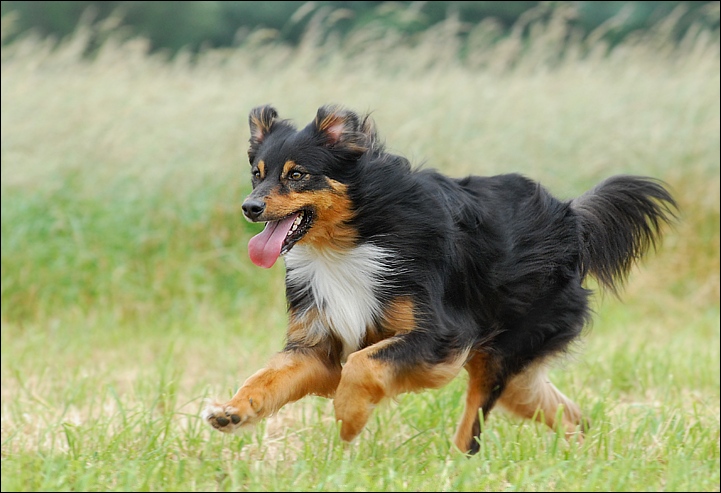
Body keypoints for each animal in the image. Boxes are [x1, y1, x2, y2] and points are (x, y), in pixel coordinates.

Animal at [202, 104, 676, 454]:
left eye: (297, 174)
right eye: (257, 173)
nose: (250, 207)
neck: (352, 237)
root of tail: (572, 219)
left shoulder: (442, 334)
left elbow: (363, 365)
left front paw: (349, 418)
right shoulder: (317, 344)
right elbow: (267, 376)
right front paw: (233, 411)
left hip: (502, 349)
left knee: (474, 425)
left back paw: (458, 463)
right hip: (517, 370)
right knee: (565, 411)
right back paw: (582, 451)